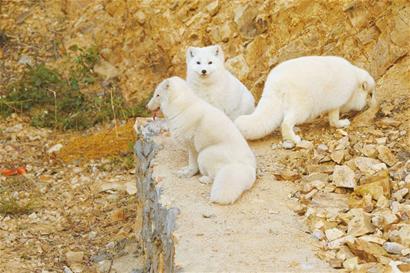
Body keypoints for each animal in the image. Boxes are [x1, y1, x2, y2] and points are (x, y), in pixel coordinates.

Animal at [147, 75, 256, 203]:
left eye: (157, 95)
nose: (147, 106)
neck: (182, 108)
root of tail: (247, 168)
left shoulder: (192, 146)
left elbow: (192, 164)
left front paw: (188, 173)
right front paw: (185, 170)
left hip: (204, 154)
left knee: (214, 176)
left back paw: (205, 179)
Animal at [235, 56, 376, 143]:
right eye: (370, 94)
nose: (371, 105)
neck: (354, 81)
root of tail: (275, 84)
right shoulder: (337, 102)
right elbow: (334, 120)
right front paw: (343, 123)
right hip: (303, 109)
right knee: (285, 123)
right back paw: (294, 139)